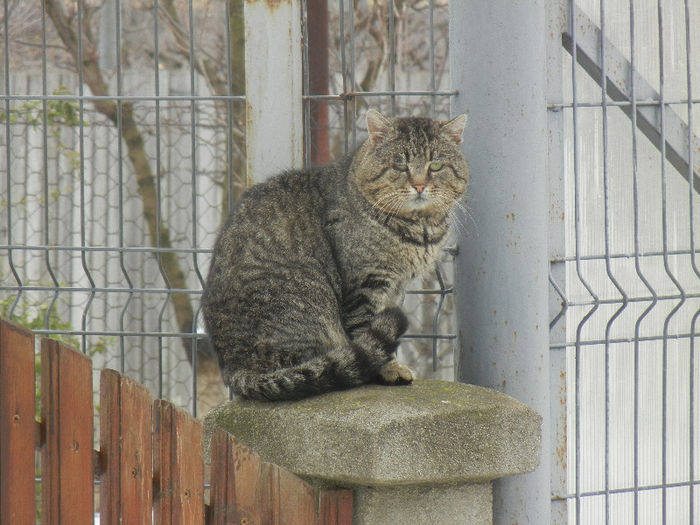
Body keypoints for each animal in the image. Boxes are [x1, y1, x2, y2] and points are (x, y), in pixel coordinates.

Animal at [200, 108, 468, 400]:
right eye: (399, 166)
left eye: (436, 166)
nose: (419, 186)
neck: (420, 227)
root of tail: (234, 369)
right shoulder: (366, 283)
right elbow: (365, 327)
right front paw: (388, 369)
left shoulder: (395, 287)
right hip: (307, 298)